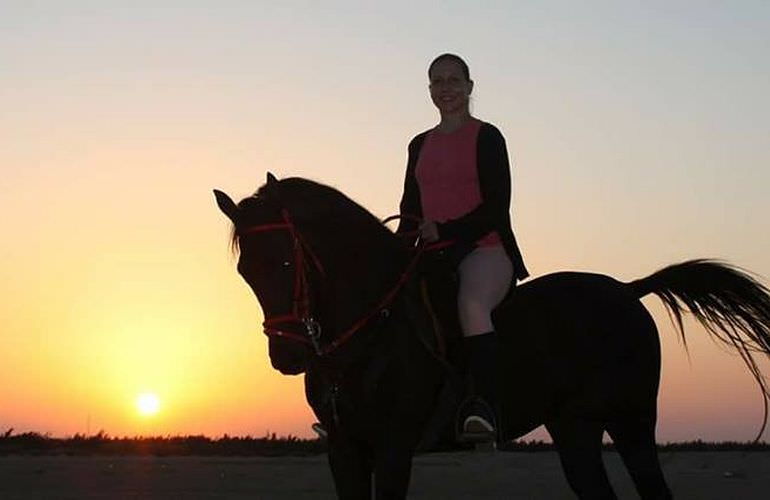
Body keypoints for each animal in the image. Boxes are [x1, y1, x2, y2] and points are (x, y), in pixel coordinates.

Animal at [212, 174, 768, 498]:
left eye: (287, 262)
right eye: (244, 271)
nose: (288, 355)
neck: (370, 335)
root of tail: (628, 290)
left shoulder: (392, 448)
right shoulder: (345, 451)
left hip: (631, 422)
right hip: (575, 428)